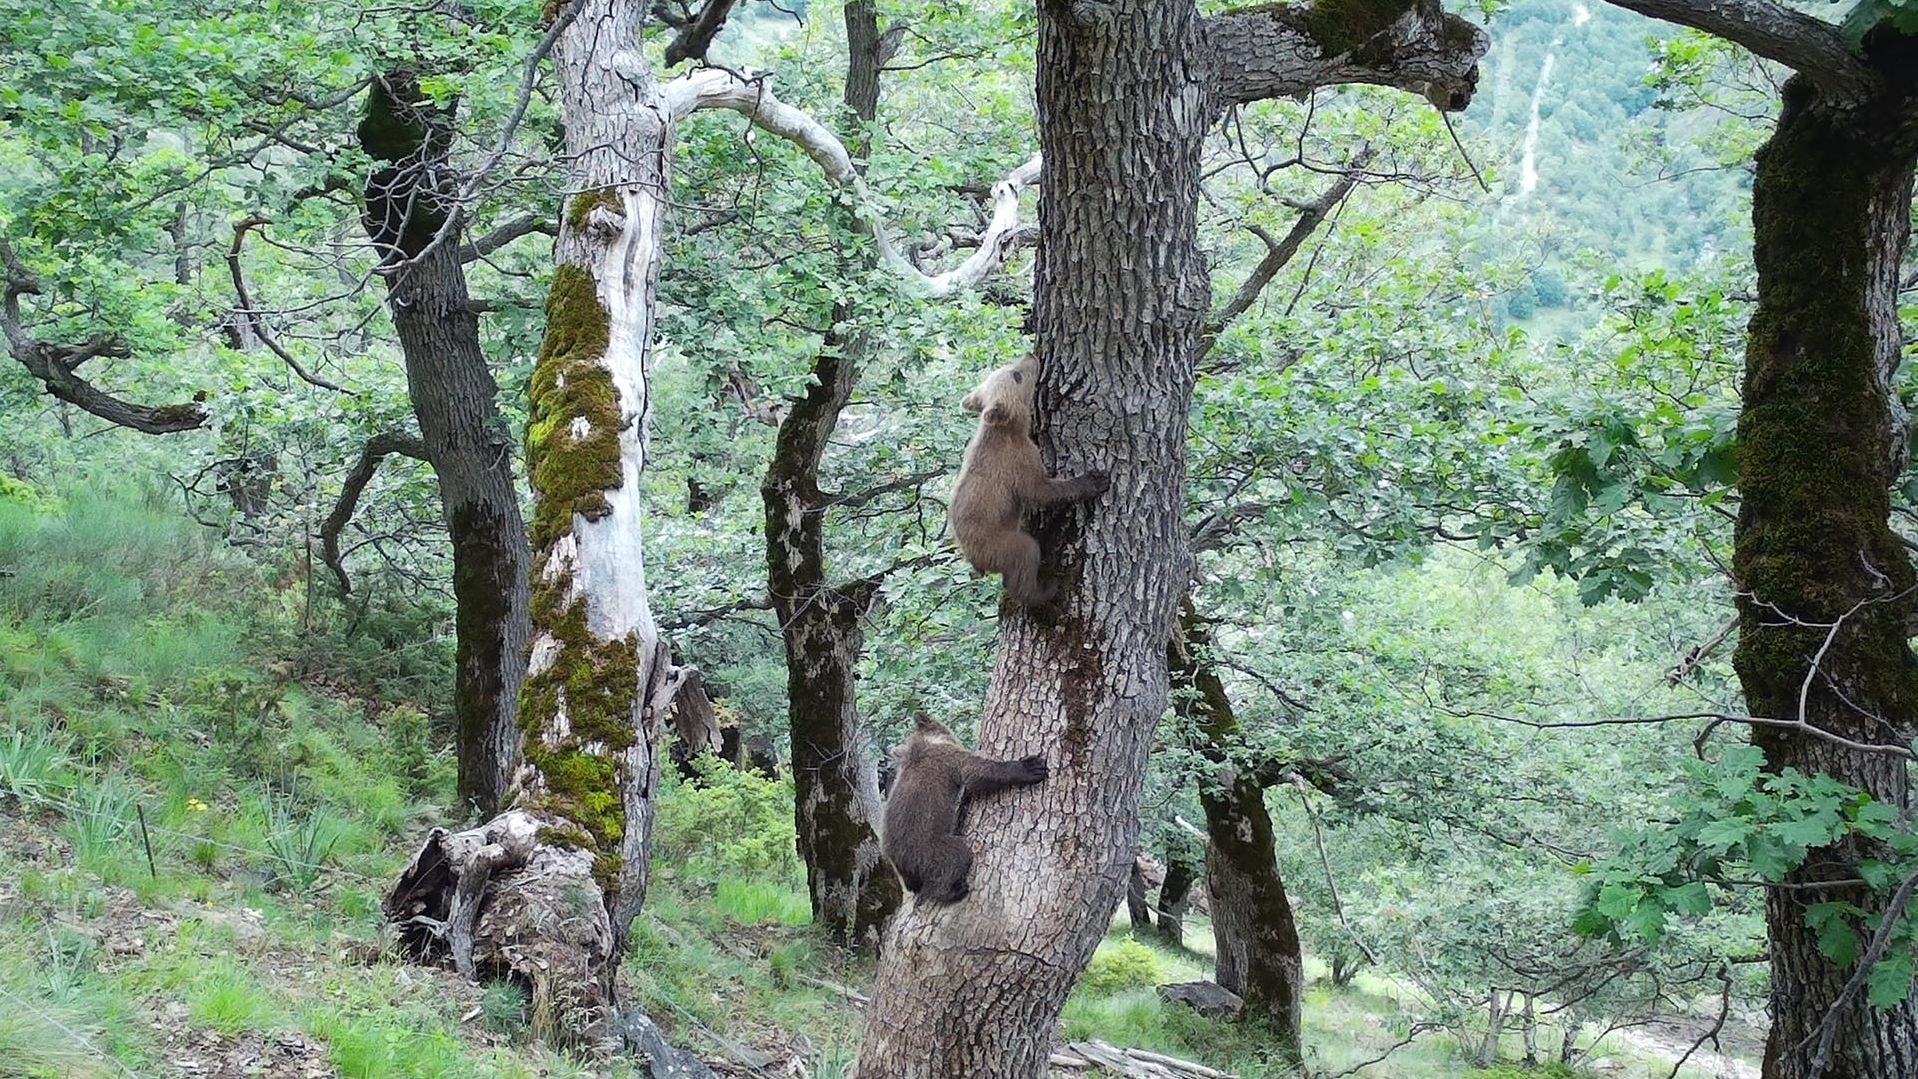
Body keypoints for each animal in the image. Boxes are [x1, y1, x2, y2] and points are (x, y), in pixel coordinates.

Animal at [881, 712, 1048, 903]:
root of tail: (897, 859)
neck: (929, 742)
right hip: (929, 849)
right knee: (954, 859)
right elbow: (978, 774)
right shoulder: (949, 759)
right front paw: (1031, 767)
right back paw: (953, 890)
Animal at [949, 354, 1109, 607]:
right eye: (1017, 375)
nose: (1031, 355)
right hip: (1001, 543)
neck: (1009, 430)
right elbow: (1040, 491)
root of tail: (976, 561)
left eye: (1008, 368)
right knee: (1025, 555)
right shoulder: (1017, 461)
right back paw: (1046, 589)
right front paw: (1094, 480)